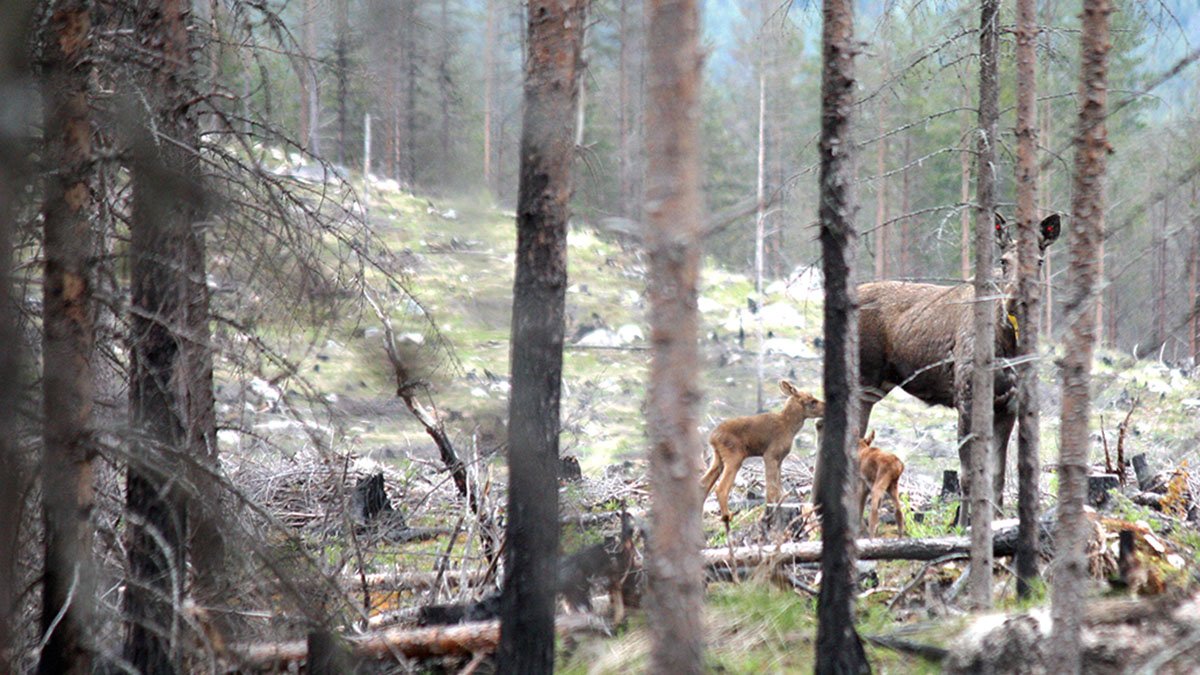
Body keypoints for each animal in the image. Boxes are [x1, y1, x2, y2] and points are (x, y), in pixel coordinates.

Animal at [700, 379, 825, 521]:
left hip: (718, 458)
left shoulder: (779, 459)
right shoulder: (770, 455)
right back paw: (728, 516)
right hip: (734, 456)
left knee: (703, 484)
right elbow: (771, 487)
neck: (790, 427)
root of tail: (712, 438)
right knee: (721, 488)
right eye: (812, 401)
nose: (826, 408)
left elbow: (778, 486)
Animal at [854, 212, 1060, 516]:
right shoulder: (966, 397)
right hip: (864, 381)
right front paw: (963, 524)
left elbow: (996, 476)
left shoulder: (1008, 405)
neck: (1009, 346)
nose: (1014, 302)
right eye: (1003, 261)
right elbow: (968, 475)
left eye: (1040, 261)